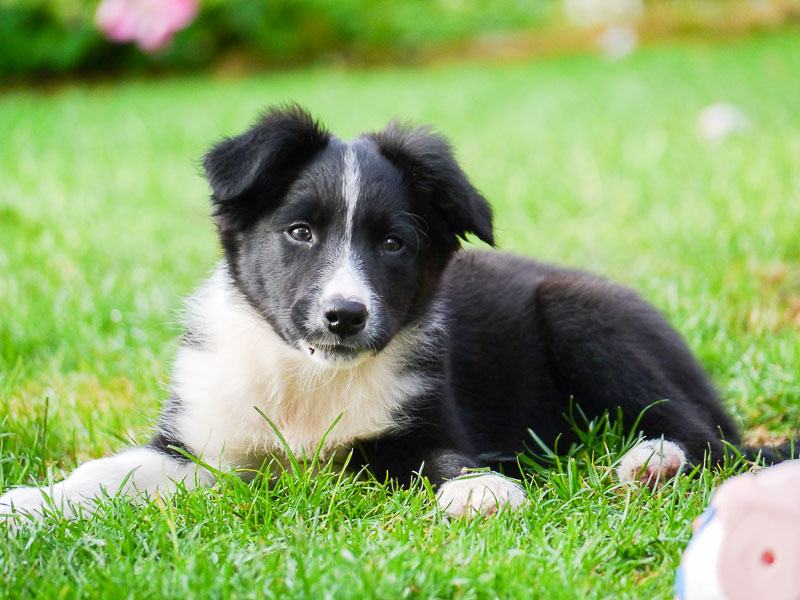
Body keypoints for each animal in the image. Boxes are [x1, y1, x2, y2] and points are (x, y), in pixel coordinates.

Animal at [0, 105, 776, 524]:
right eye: (300, 232)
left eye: (394, 243)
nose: (344, 316)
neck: (306, 379)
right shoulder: (203, 449)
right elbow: (110, 471)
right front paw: (30, 503)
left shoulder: (418, 429)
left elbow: (442, 457)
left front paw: (480, 490)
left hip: (582, 316)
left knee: (713, 440)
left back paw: (651, 462)